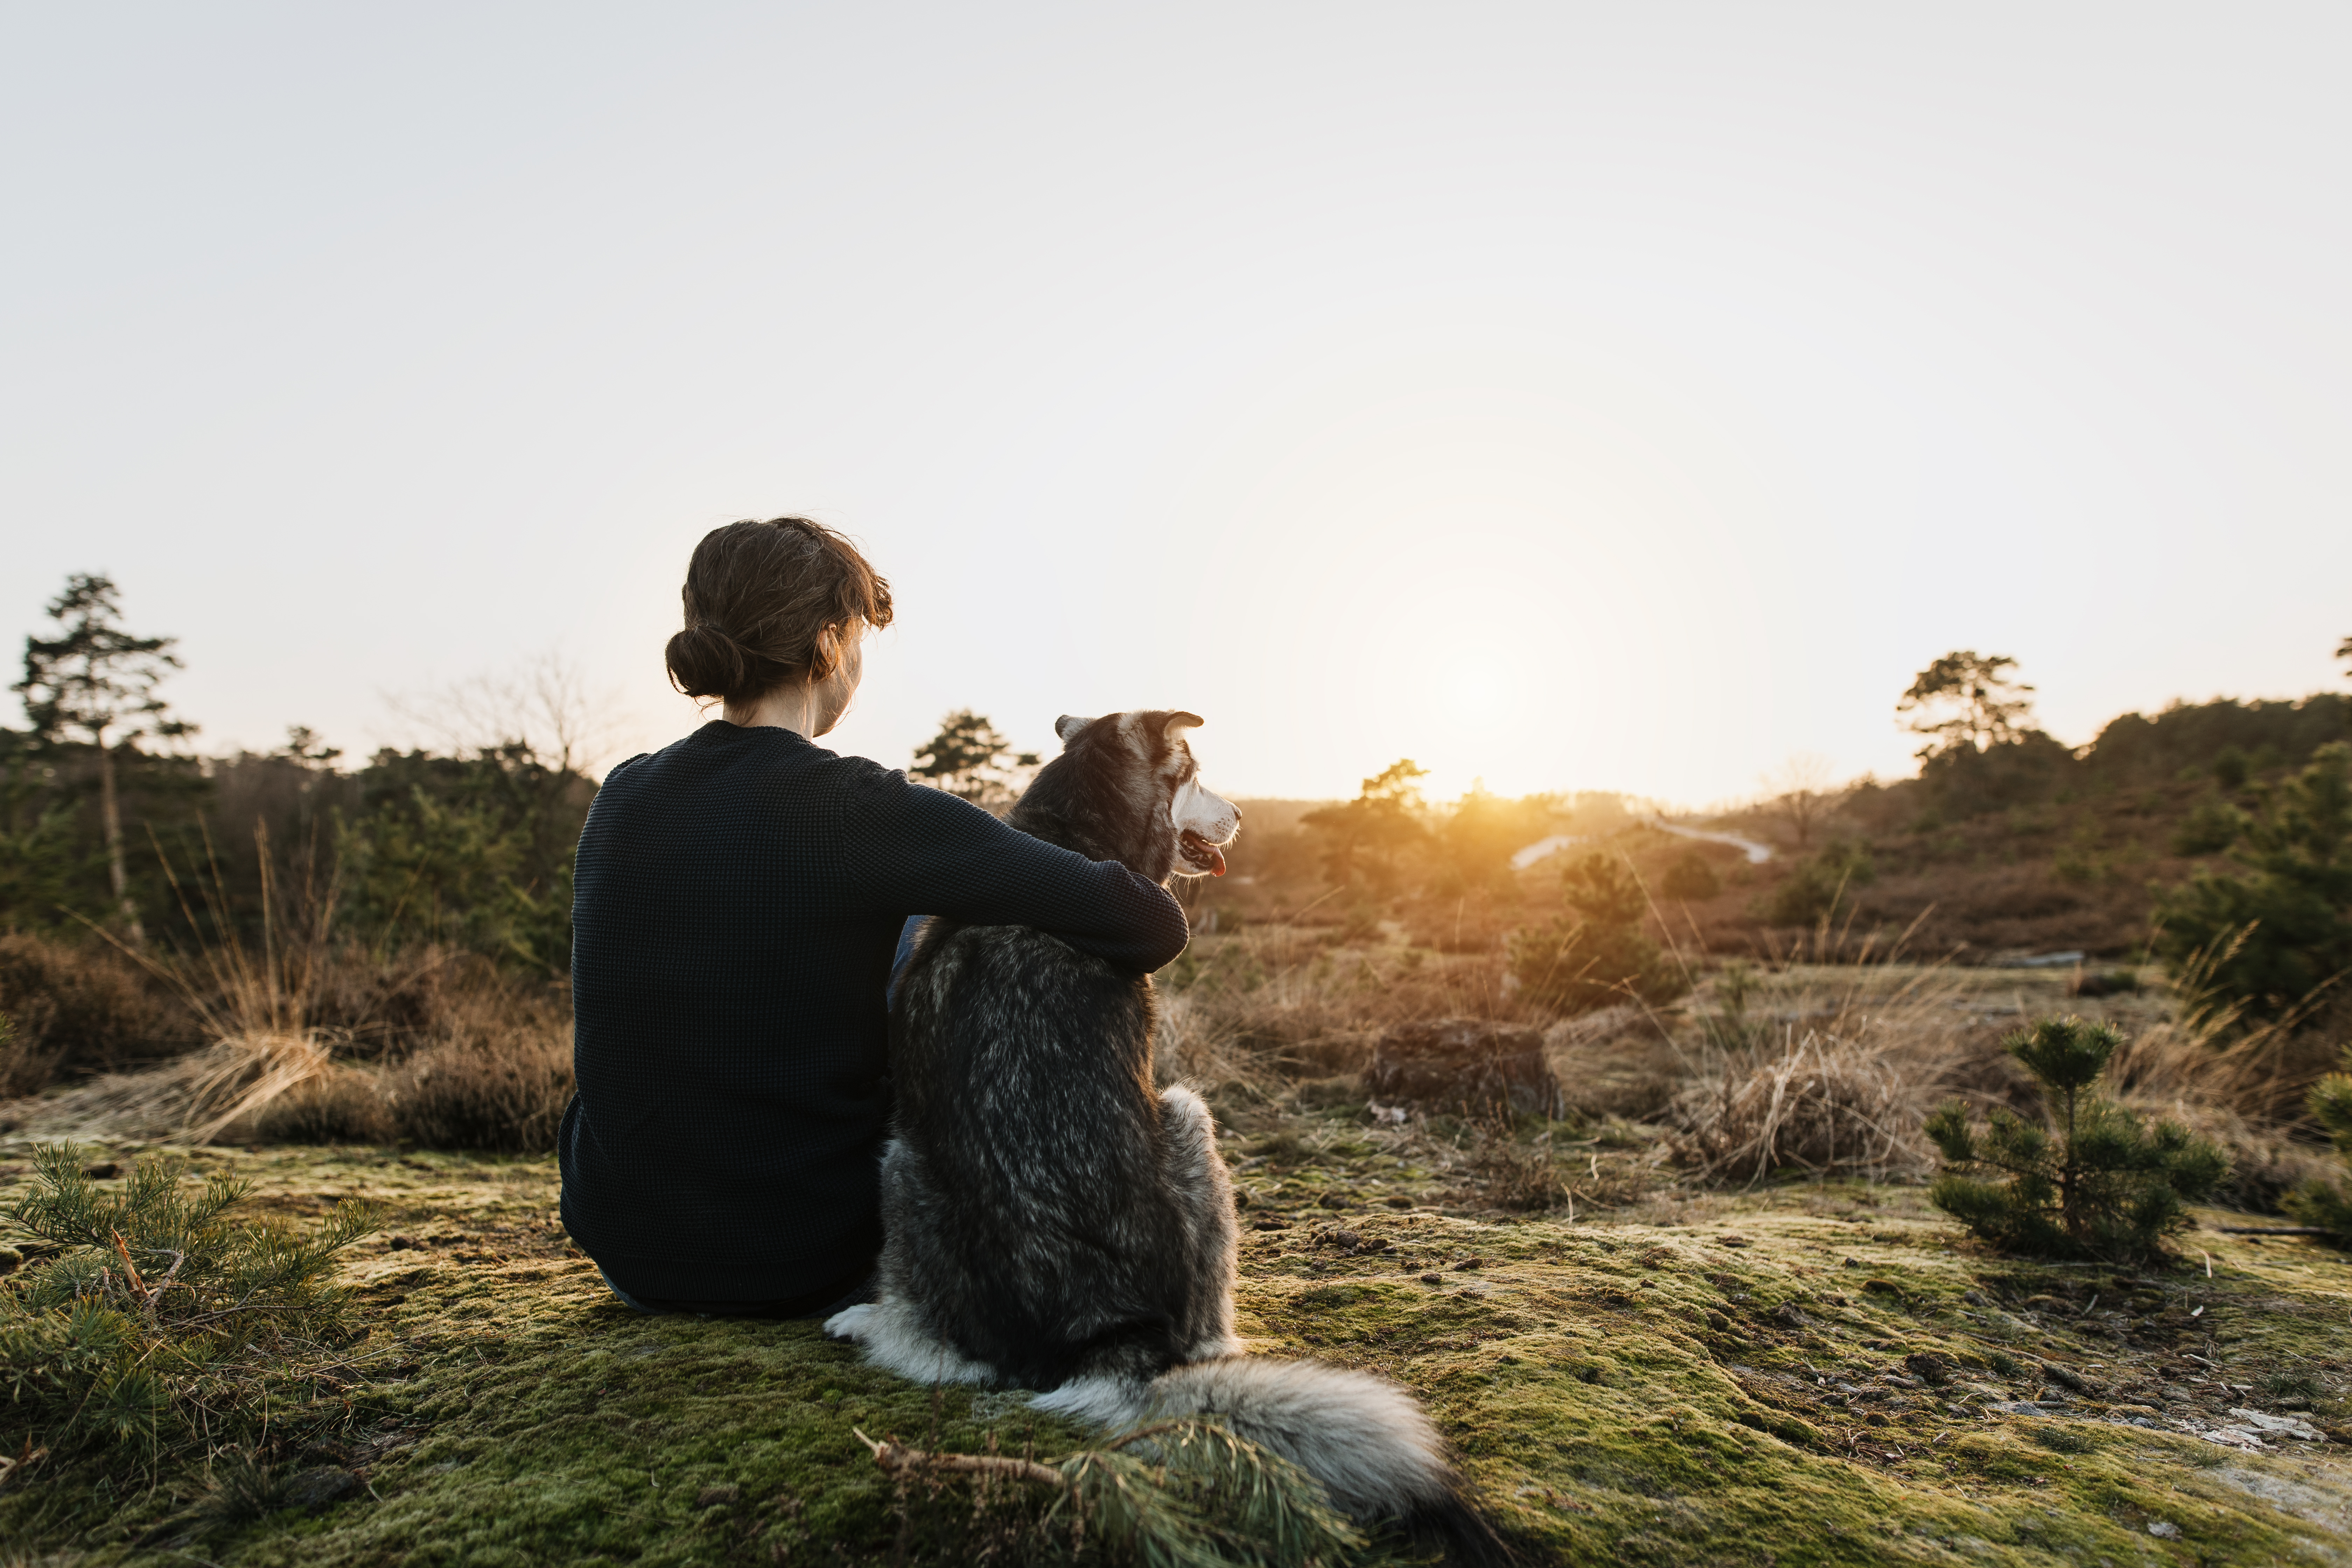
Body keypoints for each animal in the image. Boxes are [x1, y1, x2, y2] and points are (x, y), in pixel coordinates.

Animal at [828, 719, 1505, 1561]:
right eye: (1198, 774)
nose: (1243, 814)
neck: (1067, 839)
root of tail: (1107, 1325)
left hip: (931, 1156)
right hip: (1157, 1117)